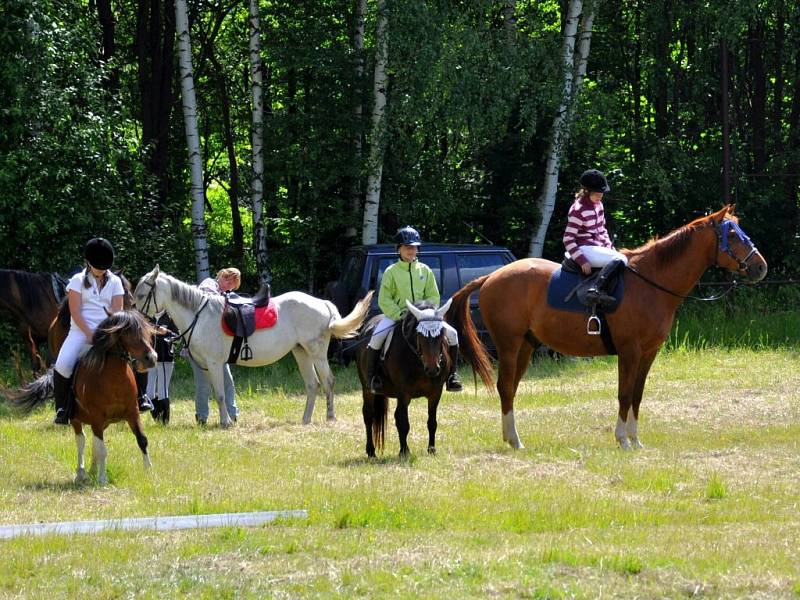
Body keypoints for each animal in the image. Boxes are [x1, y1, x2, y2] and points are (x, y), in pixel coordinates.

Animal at [9, 312, 156, 486]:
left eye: (147, 331)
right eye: (128, 333)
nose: (152, 358)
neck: (114, 377)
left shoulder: (132, 412)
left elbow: (142, 439)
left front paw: (148, 471)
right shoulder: (97, 416)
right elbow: (101, 449)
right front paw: (102, 479)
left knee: (93, 440)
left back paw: (93, 469)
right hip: (76, 419)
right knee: (82, 440)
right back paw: (81, 473)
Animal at [136, 268, 374, 426]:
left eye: (141, 294)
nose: (139, 321)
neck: (200, 315)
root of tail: (322, 303)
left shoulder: (214, 363)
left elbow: (220, 394)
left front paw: (225, 423)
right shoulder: (208, 366)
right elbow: (215, 392)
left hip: (317, 354)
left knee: (328, 381)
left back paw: (330, 417)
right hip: (301, 353)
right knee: (312, 384)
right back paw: (305, 419)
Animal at [354, 298, 450, 458]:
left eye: (441, 334)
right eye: (420, 335)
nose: (432, 369)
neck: (419, 361)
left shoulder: (436, 392)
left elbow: (432, 422)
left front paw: (431, 449)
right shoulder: (403, 394)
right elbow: (403, 422)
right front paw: (404, 451)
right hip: (367, 389)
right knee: (368, 415)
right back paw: (371, 451)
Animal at [450, 206, 768, 450]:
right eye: (731, 235)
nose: (761, 267)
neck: (651, 283)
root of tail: (491, 277)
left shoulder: (649, 353)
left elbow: (637, 394)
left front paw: (635, 440)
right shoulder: (630, 351)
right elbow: (624, 394)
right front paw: (622, 440)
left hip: (526, 346)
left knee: (511, 388)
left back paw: (510, 437)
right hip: (508, 344)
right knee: (505, 386)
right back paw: (516, 441)